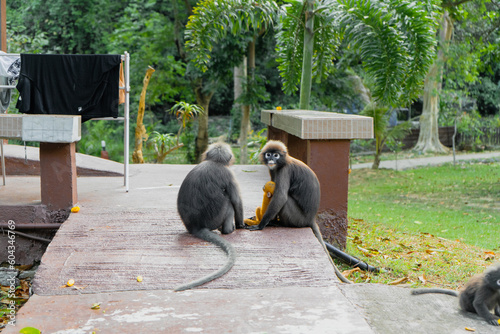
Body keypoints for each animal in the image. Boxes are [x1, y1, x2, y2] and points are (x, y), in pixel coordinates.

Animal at [175, 142, 245, 290]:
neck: (214, 162)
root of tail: (196, 226)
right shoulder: (228, 173)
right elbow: (237, 201)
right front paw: (242, 225)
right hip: (216, 217)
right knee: (229, 201)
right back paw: (227, 230)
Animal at [247, 140, 352, 284]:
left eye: (276, 155)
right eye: (269, 154)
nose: (272, 159)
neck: (282, 163)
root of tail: (311, 218)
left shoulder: (284, 171)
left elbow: (281, 197)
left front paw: (261, 224)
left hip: (297, 218)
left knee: (285, 200)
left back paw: (279, 223)